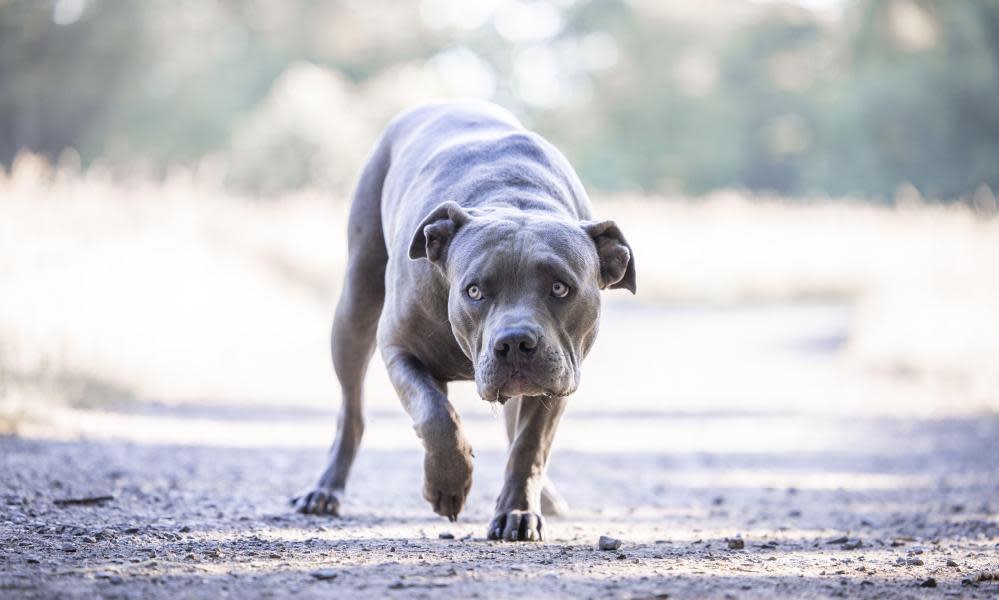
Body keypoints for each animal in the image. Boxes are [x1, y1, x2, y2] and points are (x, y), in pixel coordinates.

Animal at [292, 101, 636, 540]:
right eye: (474, 291)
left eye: (560, 288)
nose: (515, 342)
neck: (514, 200)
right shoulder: (400, 348)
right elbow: (436, 415)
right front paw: (448, 485)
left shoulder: (560, 377)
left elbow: (529, 446)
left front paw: (517, 511)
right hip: (354, 309)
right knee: (351, 410)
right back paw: (325, 490)